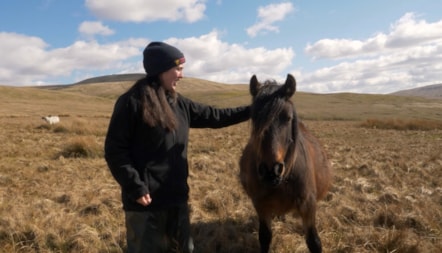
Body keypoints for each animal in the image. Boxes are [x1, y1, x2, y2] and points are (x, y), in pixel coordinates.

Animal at [238, 74, 332, 252]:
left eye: (288, 118)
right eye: (255, 118)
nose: (271, 170)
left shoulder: (308, 207)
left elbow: (314, 242)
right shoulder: (262, 206)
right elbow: (265, 237)